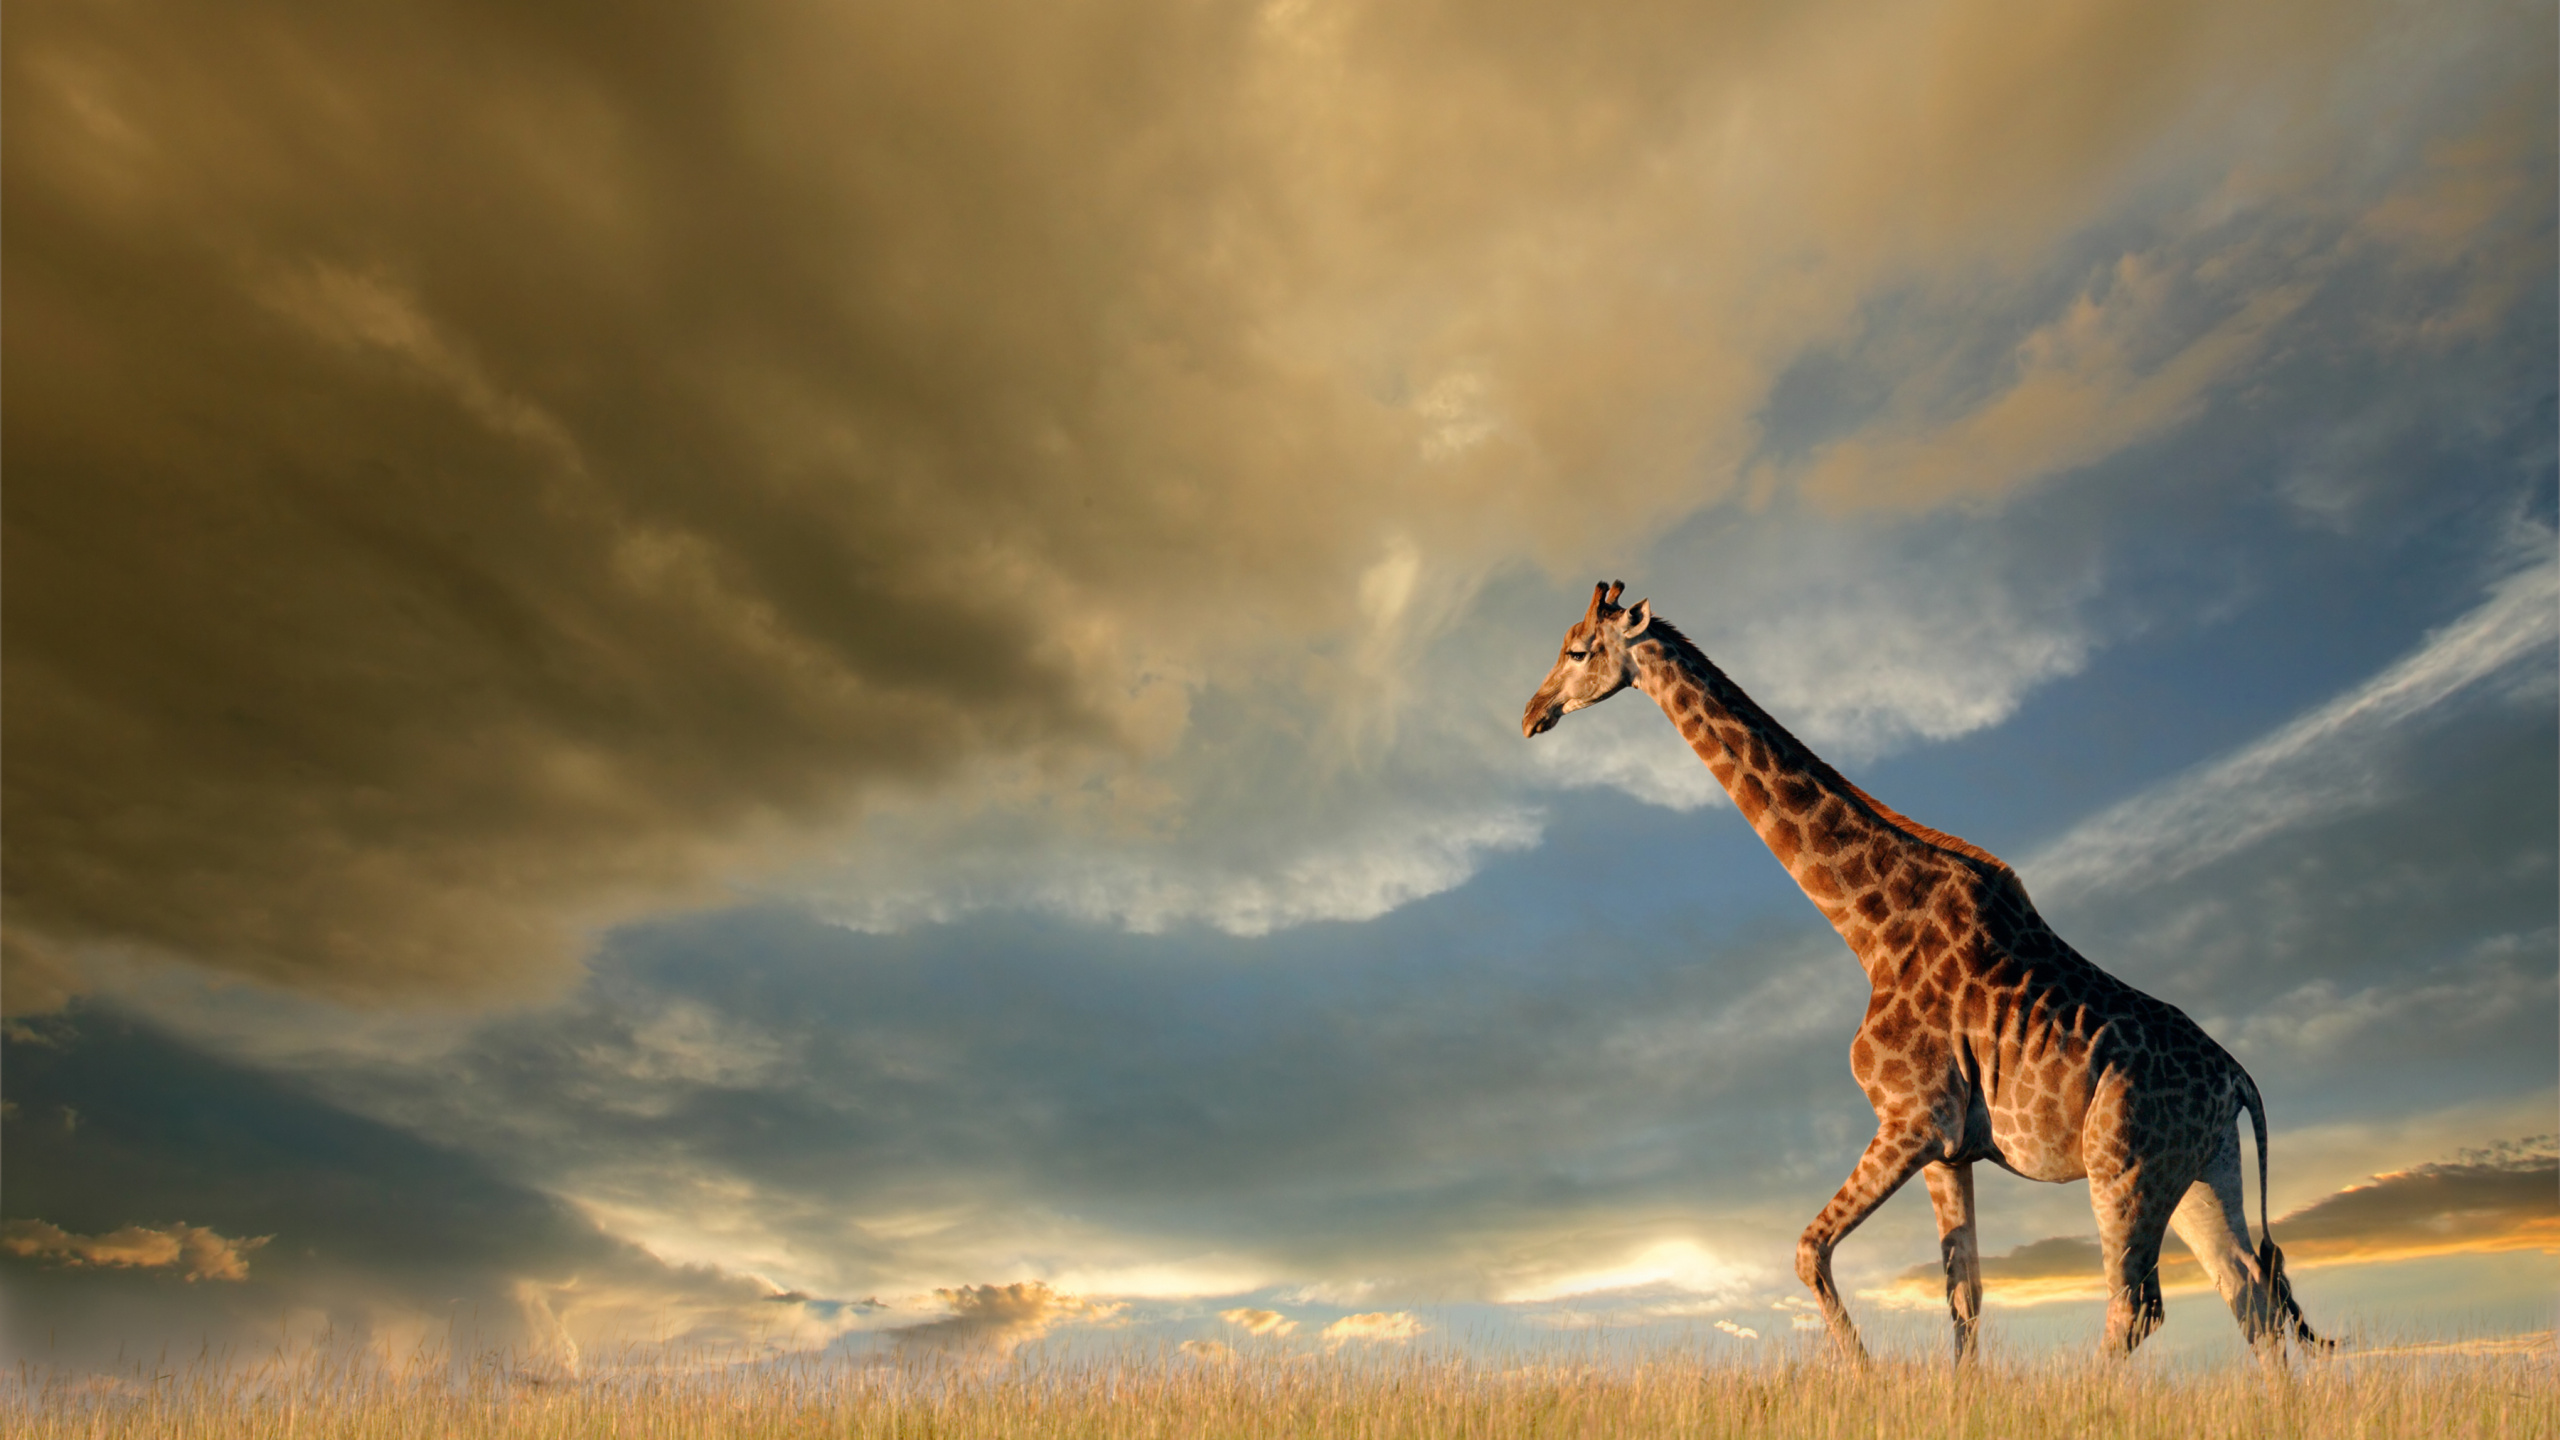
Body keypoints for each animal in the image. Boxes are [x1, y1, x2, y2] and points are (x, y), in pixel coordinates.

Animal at [1515, 579, 2344, 1352]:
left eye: (1580, 650)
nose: (1531, 713)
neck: (1871, 928)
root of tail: (2236, 1076)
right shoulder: (1951, 1147)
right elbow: (1963, 1298)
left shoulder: (1911, 1118)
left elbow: (1809, 1251)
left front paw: (1867, 1376)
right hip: (2203, 1167)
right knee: (2250, 1293)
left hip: (2124, 1165)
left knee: (2140, 1306)